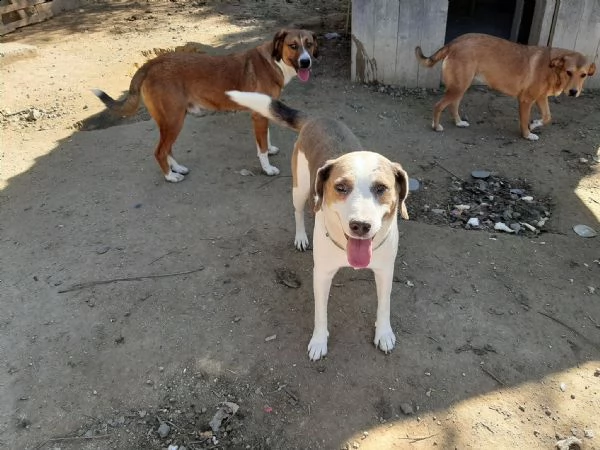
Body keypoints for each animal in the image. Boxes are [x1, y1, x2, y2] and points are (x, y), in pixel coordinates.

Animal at [92, 29, 318, 183]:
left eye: (309, 44)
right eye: (293, 46)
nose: (306, 62)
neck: (274, 61)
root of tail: (151, 64)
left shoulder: (264, 110)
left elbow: (265, 139)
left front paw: (269, 149)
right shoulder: (258, 115)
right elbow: (261, 147)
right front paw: (267, 168)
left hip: (171, 120)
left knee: (167, 148)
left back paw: (178, 168)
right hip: (174, 120)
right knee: (159, 151)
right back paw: (170, 176)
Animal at [227, 89, 410, 360]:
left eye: (381, 188)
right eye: (341, 187)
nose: (360, 225)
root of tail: (316, 118)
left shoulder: (385, 271)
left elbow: (384, 305)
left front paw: (384, 333)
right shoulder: (321, 275)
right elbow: (320, 314)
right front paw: (319, 341)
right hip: (300, 189)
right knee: (298, 211)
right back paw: (301, 237)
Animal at [418, 33, 596, 141]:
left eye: (583, 75)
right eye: (569, 72)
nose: (573, 92)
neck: (553, 67)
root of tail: (455, 42)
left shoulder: (541, 97)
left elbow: (547, 117)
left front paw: (534, 124)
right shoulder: (526, 100)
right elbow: (524, 121)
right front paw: (527, 134)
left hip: (461, 86)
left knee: (453, 105)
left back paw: (459, 122)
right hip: (458, 87)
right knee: (438, 105)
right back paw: (436, 126)